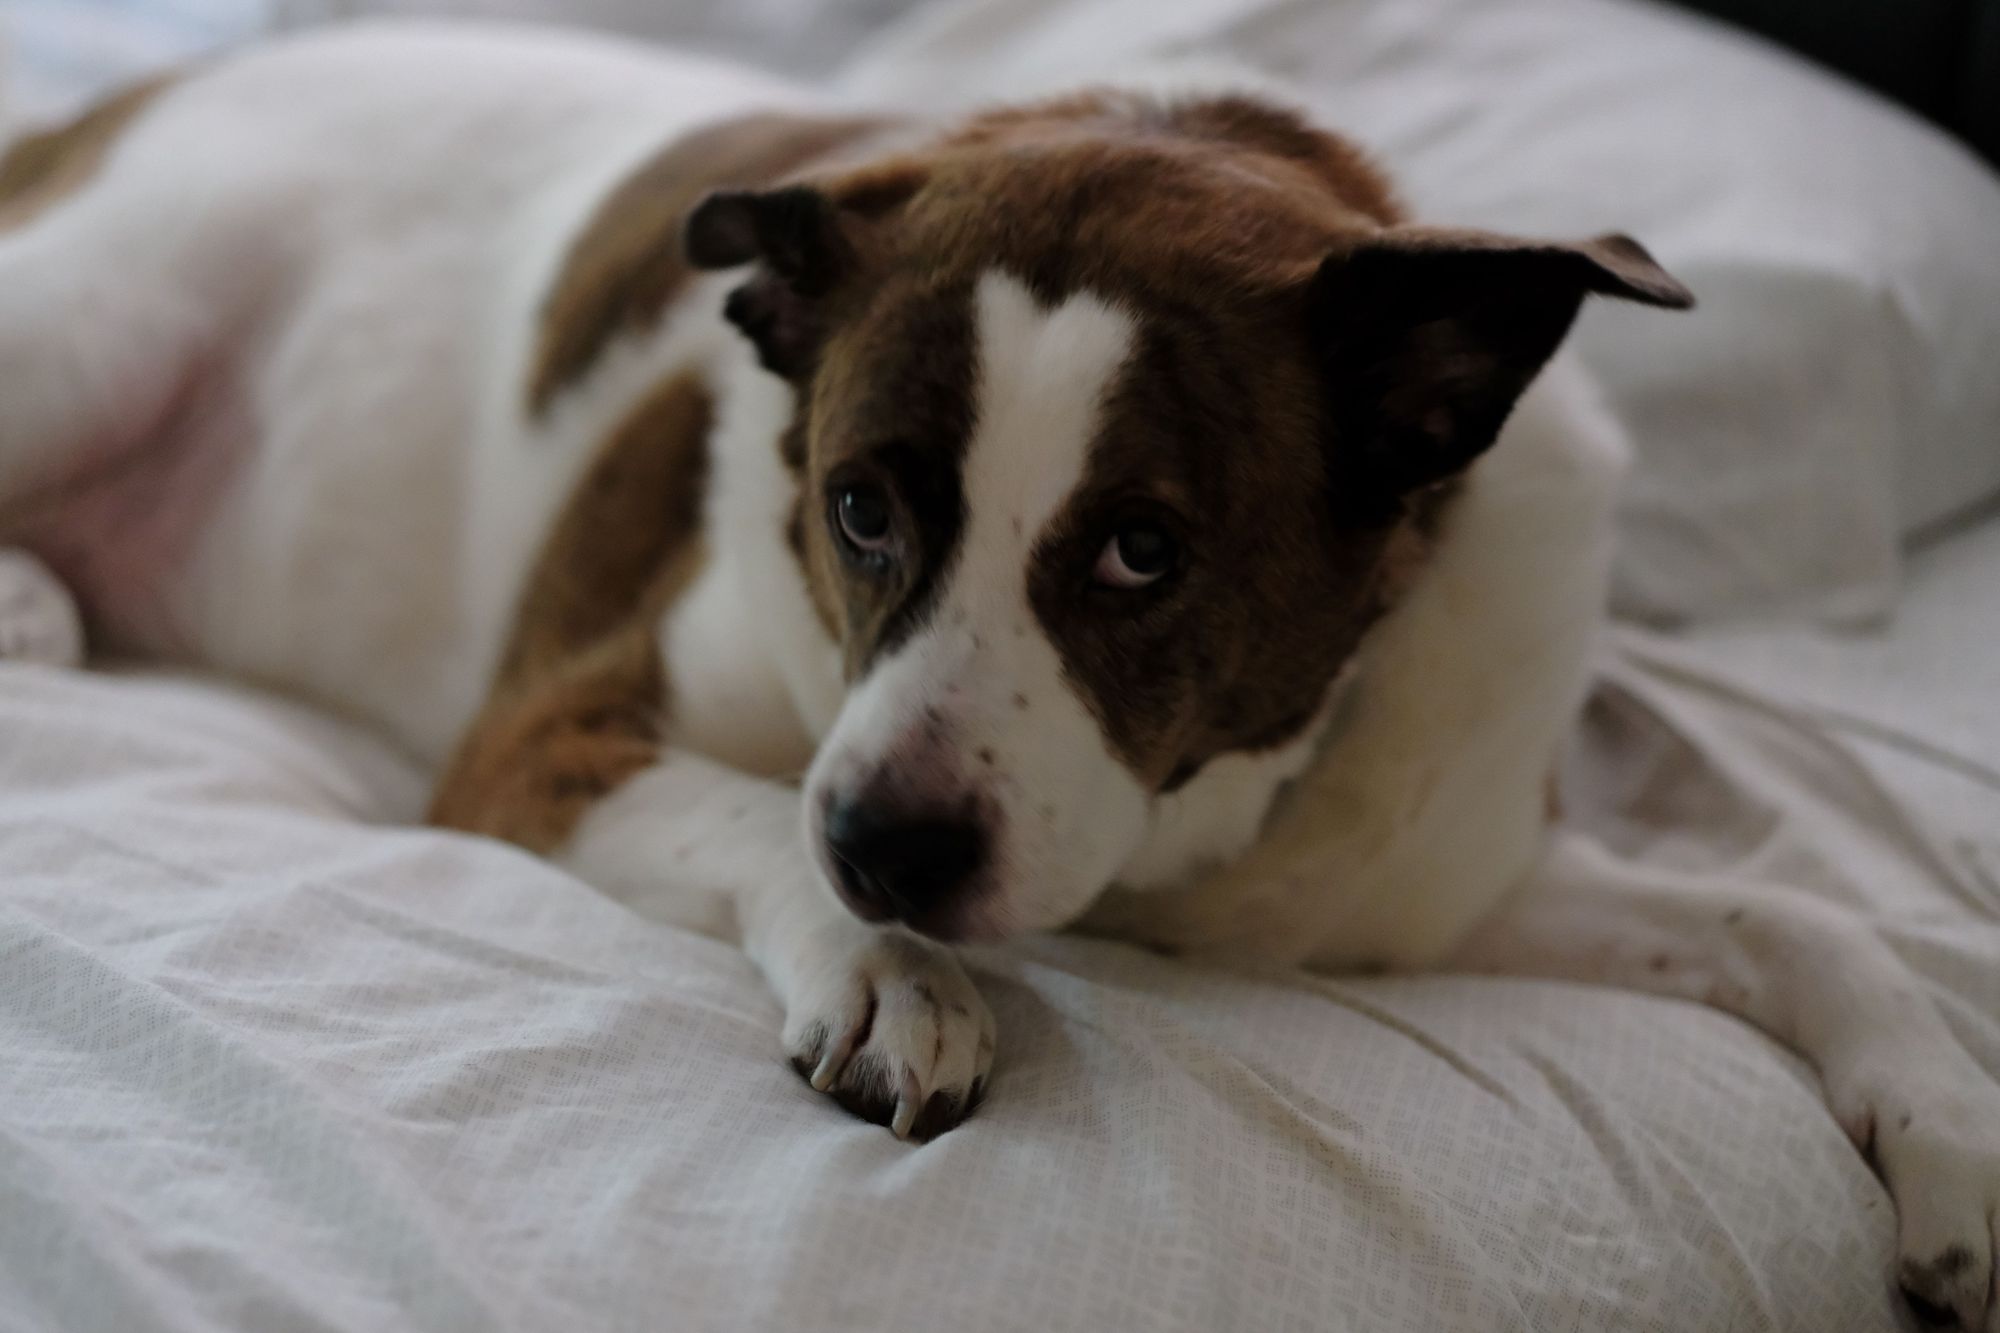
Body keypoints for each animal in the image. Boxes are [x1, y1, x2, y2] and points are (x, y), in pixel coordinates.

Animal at [3, 23, 2000, 1328]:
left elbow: (1793, 915)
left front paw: (1955, 1138)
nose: (889, 851)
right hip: (100, 321)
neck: (1199, 830)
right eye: (859, 507)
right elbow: (753, 809)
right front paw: (887, 968)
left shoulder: (1415, 884)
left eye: (1142, 551)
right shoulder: (542, 736)